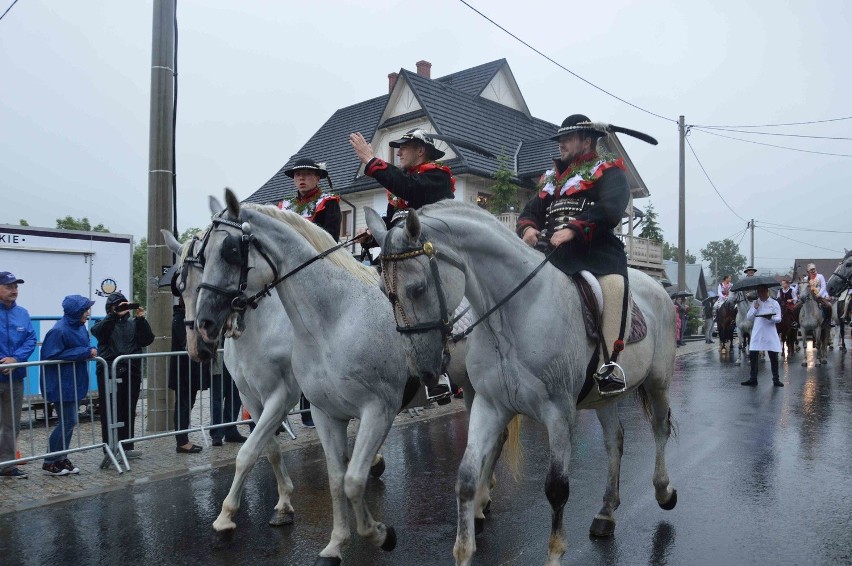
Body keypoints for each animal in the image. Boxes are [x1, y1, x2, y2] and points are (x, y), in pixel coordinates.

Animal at [366, 203, 680, 566]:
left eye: (417, 288)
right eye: (382, 291)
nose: (424, 370)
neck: (514, 317)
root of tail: (658, 288)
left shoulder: (558, 412)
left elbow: (557, 488)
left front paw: (555, 553)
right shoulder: (489, 405)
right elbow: (466, 477)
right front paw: (464, 547)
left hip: (659, 382)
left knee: (659, 429)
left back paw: (663, 490)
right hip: (604, 398)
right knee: (614, 441)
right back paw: (606, 513)